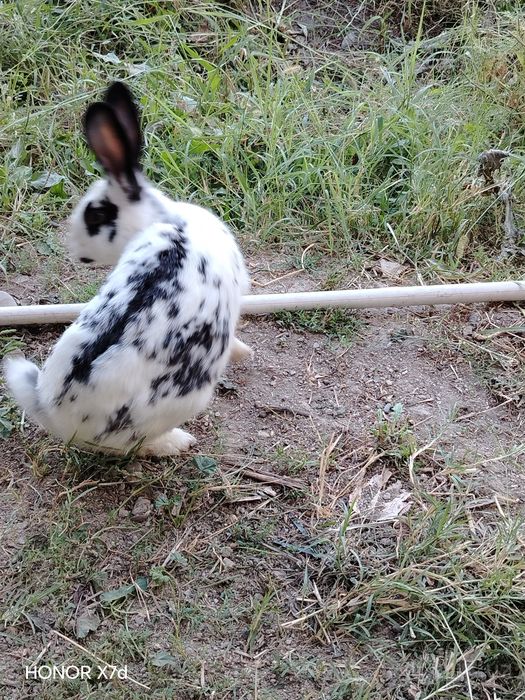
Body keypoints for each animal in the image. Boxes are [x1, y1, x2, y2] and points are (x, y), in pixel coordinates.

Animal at [4, 81, 252, 456]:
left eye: (94, 215)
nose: (74, 249)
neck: (163, 219)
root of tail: (55, 413)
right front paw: (244, 353)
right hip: (184, 402)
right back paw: (178, 442)